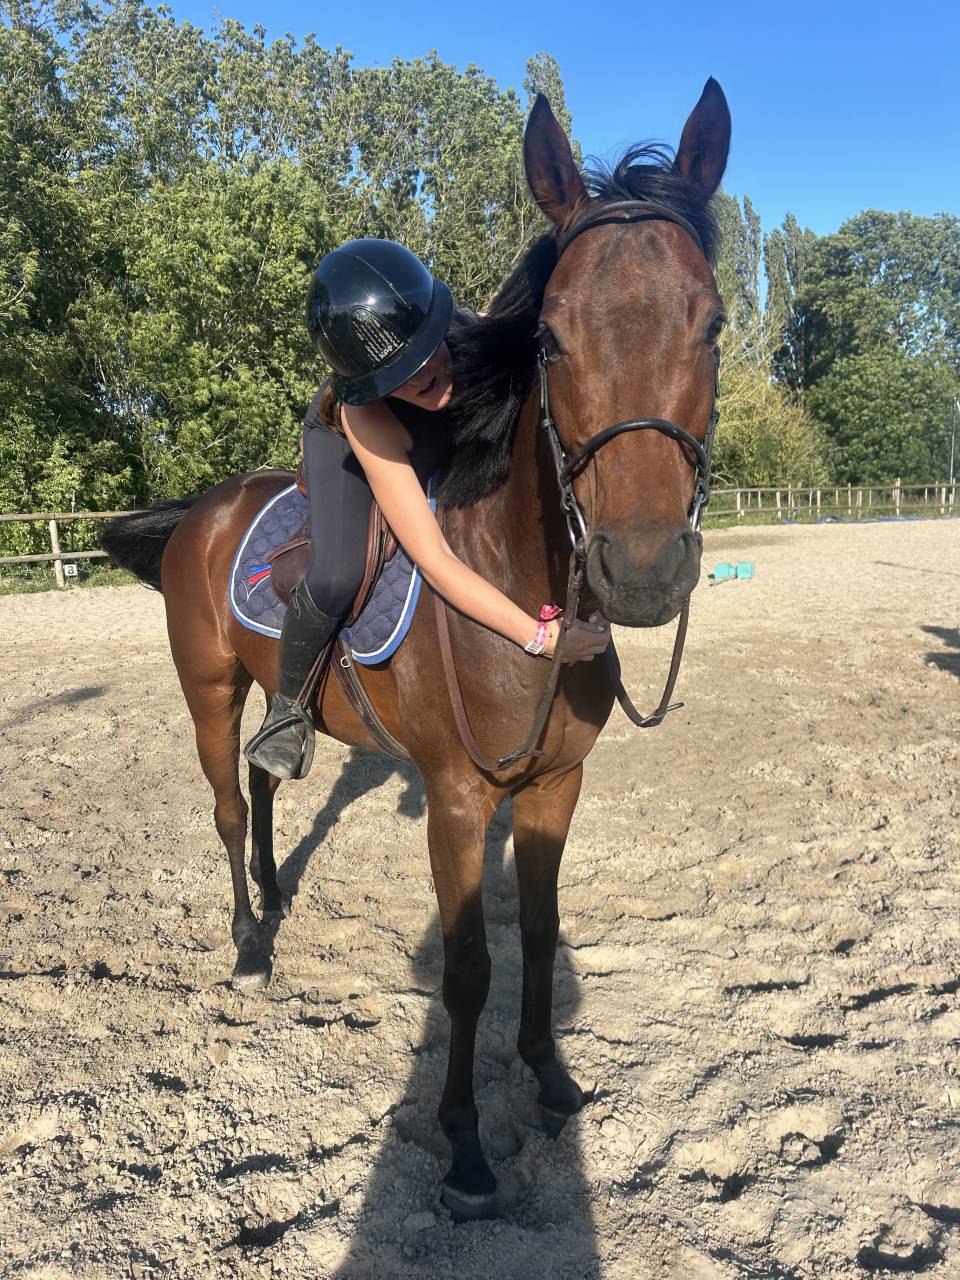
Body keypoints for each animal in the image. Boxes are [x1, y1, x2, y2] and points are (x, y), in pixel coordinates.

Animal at [103, 80, 730, 1221]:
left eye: (711, 323)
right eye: (551, 339)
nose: (643, 569)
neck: (515, 589)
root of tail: (208, 506)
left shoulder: (554, 786)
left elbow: (540, 931)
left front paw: (551, 1077)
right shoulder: (458, 797)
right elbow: (468, 967)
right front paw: (466, 1147)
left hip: (272, 695)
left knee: (265, 784)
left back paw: (277, 892)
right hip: (209, 689)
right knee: (225, 807)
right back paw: (250, 946)